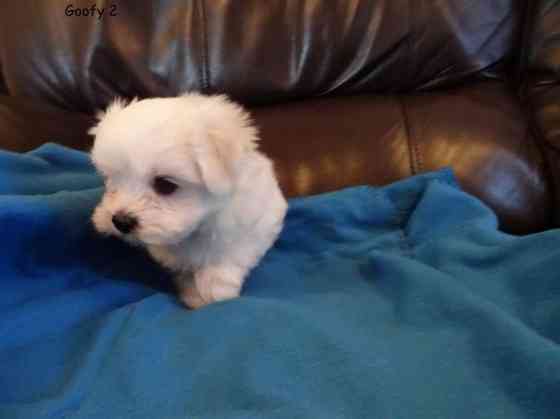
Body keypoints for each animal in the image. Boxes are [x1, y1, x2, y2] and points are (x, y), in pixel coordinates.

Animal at [91, 93, 288, 308]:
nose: (120, 221)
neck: (199, 225)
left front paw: (212, 291)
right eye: (111, 179)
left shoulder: (255, 227)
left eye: (165, 184)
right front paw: (191, 291)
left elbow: (230, 256)